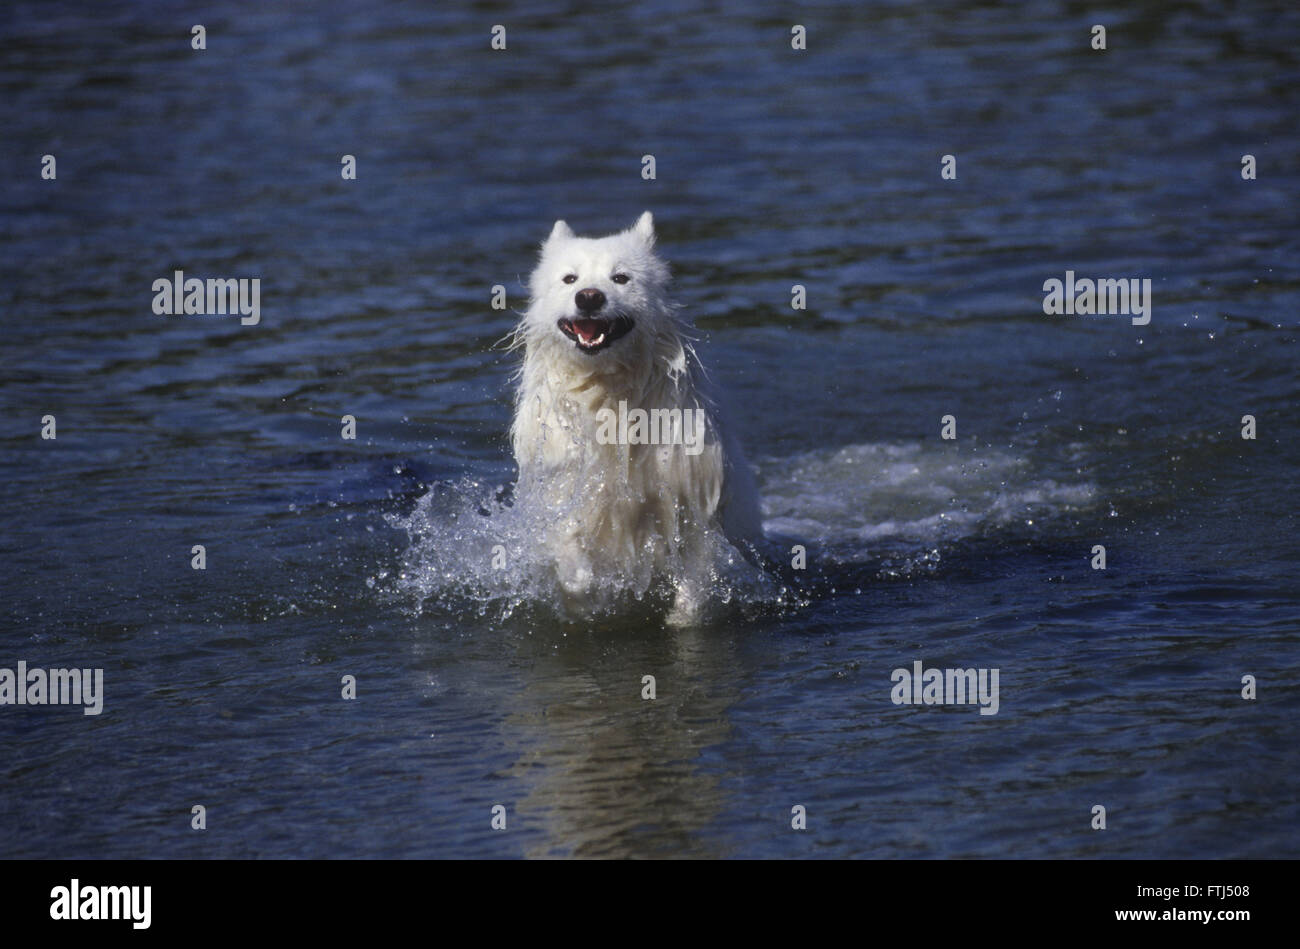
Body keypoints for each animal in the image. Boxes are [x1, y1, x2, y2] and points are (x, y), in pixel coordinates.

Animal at [509, 211, 759, 621]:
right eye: (570, 279)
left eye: (621, 278)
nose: (589, 297)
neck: (607, 395)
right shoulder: (564, 489)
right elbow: (574, 566)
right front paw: (591, 595)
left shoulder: (692, 502)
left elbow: (694, 584)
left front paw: (681, 615)